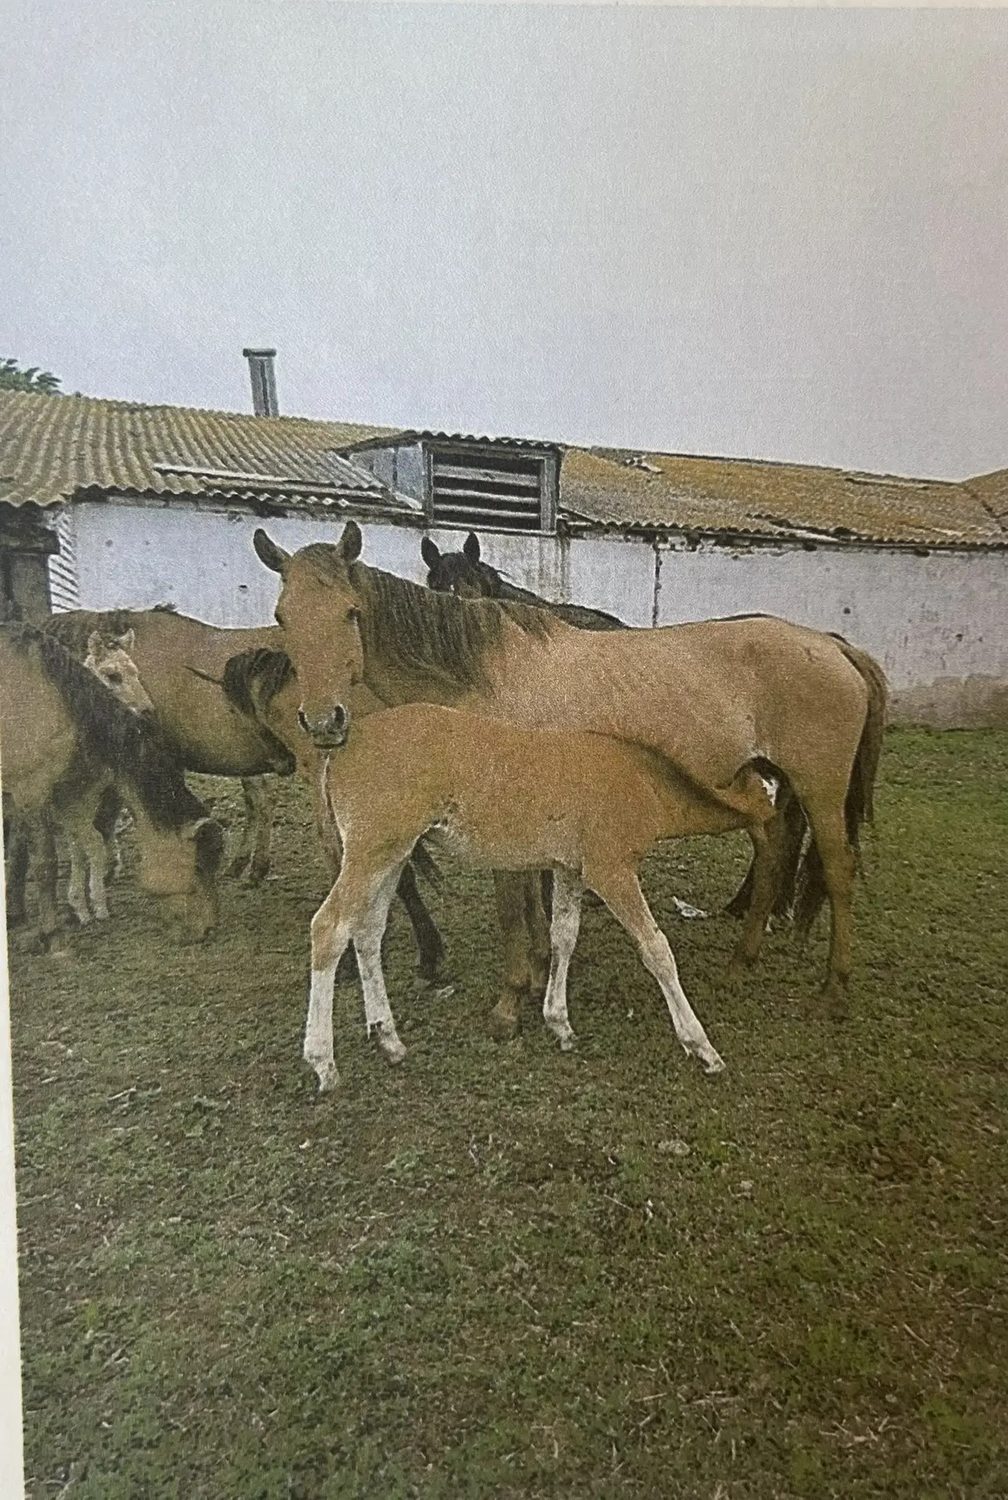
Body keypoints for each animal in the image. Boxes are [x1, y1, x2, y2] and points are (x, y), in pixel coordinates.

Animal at [0, 624, 224, 946]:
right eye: (197, 866)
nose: (208, 929)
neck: (54, 698)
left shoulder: (70, 794)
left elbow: (83, 845)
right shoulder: (31, 792)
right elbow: (45, 863)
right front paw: (50, 931)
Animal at [255, 520, 887, 1024]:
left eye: (350, 613)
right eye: (282, 616)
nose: (323, 721)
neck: (481, 675)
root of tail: (834, 646)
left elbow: (514, 909)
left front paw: (512, 1001)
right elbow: (536, 905)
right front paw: (539, 975)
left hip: (819, 788)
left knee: (838, 870)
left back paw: (833, 989)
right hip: (762, 781)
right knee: (776, 848)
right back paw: (742, 959)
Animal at [297, 699, 743, 1092]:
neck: (640, 777)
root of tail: (344, 744)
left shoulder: (568, 868)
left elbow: (564, 936)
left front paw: (560, 1024)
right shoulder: (610, 868)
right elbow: (656, 948)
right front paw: (702, 1047)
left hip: (392, 854)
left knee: (367, 932)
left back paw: (388, 1040)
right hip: (371, 850)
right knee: (330, 928)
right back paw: (323, 1063)